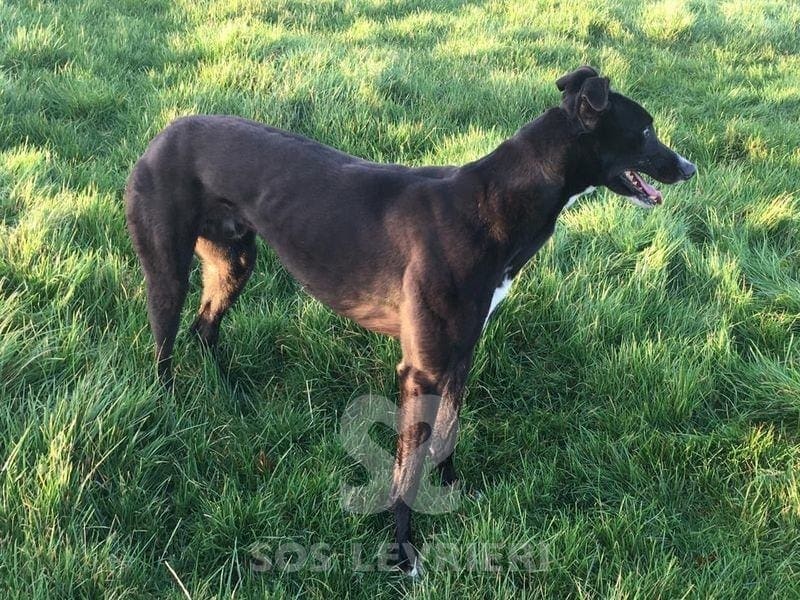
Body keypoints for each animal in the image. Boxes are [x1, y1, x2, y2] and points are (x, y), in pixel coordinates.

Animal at [125, 66, 696, 573]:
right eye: (646, 129)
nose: (690, 168)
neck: (492, 203)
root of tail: (164, 133)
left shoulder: (460, 355)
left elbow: (447, 435)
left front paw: (453, 492)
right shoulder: (421, 370)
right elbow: (406, 470)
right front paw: (403, 553)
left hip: (234, 260)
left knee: (205, 328)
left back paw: (230, 394)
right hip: (167, 269)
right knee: (164, 345)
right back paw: (172, 407)